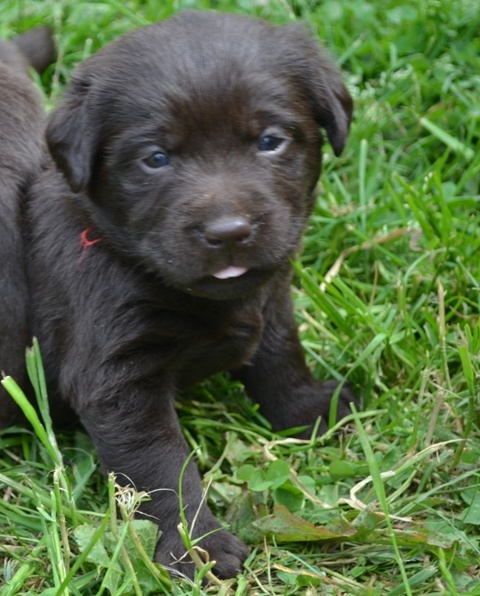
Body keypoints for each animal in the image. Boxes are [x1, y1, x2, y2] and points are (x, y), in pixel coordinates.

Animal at [1, 12, 354, 579]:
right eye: (155, 158)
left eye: (270, 141)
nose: (228, 232)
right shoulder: (119, 376)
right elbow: (160, 466)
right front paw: (195, 545)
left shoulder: (271, 297)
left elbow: (280, 354)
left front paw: (310, 410)